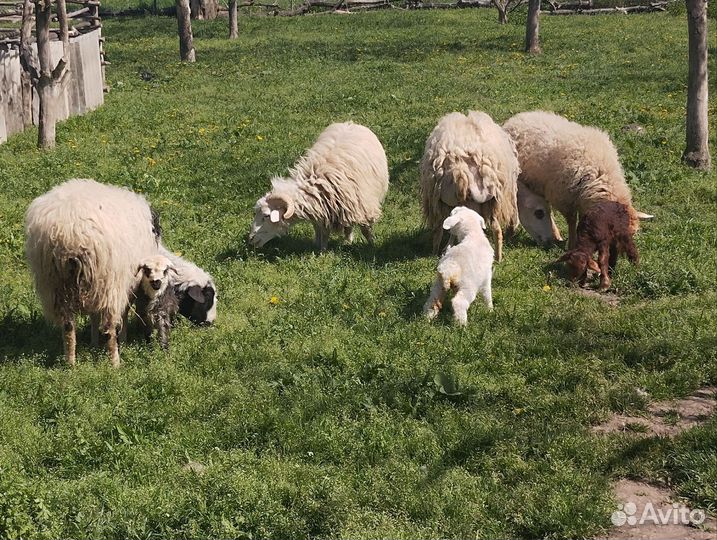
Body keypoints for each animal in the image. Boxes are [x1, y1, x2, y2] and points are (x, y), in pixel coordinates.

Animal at [25, 178, 160, 367]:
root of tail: (69, 233)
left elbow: (94, 315)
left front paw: (93, 343)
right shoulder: (125, 283)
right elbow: (123, 312)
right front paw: (122, 340)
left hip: (56, 283)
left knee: (68, 326)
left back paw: (70, 362)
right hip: (107, 282)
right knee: (109, 327)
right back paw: (115, 362)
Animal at [249, 122, 389, 251]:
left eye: (267, 216)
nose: (250, 239)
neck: (317, 183)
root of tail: (350, 123)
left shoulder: (363, 206)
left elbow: (366, 231)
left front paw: (371, 247)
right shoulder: (323, 211)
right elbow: (322, 232)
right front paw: (322, 250)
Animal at [420, 111, 520, 262]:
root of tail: (460, 171)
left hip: (439, 200)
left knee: (438, 230)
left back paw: (435, 253)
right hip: (491, 200)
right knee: (496, 229)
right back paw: (498, 257)